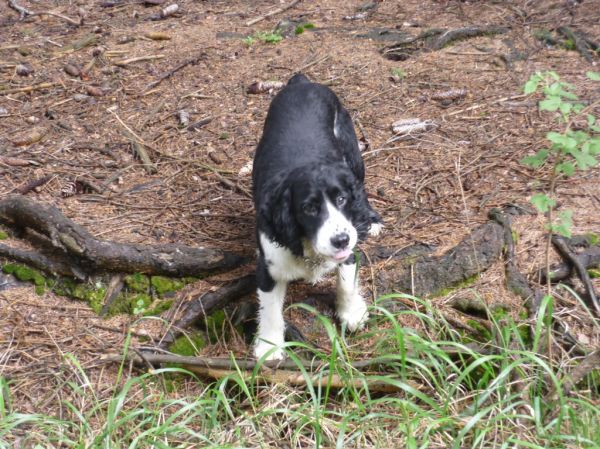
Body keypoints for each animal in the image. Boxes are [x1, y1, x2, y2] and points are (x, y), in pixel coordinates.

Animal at [251, 73, 382, 360]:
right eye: (309, 209)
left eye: (342, 199)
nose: (341, 240)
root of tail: (301, 82)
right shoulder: (269, 264)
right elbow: (270, 308)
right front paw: (270, 346)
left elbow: (346, 278)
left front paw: (351, 312)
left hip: (352, 149)